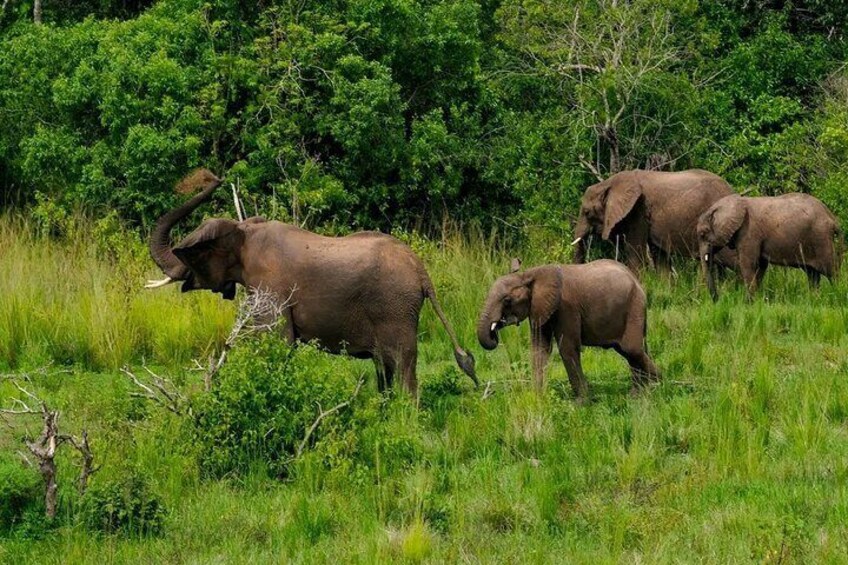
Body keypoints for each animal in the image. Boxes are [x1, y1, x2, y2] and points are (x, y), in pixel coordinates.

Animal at [147, 168, 478, 397]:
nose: (213, 176)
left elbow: (278, 342)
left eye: (189, 255)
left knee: (401, 366)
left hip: (395, 308)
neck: (244, 231)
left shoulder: (271, 288)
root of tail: (422, 273)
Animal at [477, 259, 660, 401]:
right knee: (631, 350)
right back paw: (639, 393)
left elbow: (567, 348)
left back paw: (659, 383)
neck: (529, 274)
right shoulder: (540, 307)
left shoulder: (567, 307)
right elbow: (540, 348)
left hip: (635, 305)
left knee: (632, 348)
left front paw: (581, 402)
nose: (495, 331)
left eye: (507, 300)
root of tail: (635, 278)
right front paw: (538, 398)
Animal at [697, 193, 843, 300]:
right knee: (812, 274)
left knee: (831, 270)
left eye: (703, 234)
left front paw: (749, 302)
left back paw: (837, 294)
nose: (717, 299)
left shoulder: (749, 232)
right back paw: (814, 298)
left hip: (821, 239)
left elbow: (748, 264)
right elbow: (760, 266)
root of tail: (832, 218)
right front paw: (757, 300)